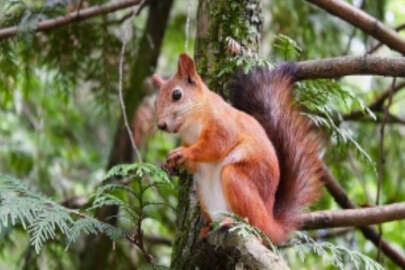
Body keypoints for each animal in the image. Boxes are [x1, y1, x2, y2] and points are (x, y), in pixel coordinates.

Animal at [152, 53, 322, 245]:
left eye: (177, 94)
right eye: (155, 102)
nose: (161, 125)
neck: (192, 124)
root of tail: (271, 224)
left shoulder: (223, 125)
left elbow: (215, 146)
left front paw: (183, 153)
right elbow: (196, 164)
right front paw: (170, 165)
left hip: (237, 180)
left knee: (253, 221)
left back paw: (236, 222)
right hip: (204, 193)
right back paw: (208, 228)